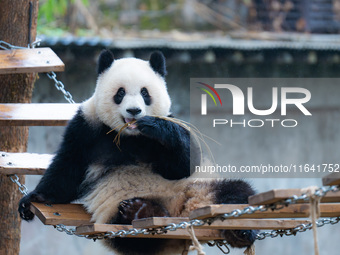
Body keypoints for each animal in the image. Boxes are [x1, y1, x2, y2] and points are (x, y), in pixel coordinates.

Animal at [18, 50, 256, 255]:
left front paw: (157, 127)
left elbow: (181, 166)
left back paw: (241, 232)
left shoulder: (169, 128)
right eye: (120, 93)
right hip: (115, 218)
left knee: (236, 193)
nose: (134, 111)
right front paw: (32, 200)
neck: (129, 136)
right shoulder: (86, 126)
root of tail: (182, 213)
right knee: (134, 238)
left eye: (144, 93)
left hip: (201, 188)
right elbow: (68, 167)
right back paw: (143, 211)